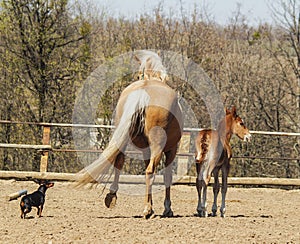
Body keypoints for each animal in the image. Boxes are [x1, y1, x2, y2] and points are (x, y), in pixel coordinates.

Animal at [76, 50, 182, 218]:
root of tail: (143, 91)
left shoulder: (146, 150)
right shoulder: (172, 149)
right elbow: (167, 176)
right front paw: (167, 208)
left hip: (123, 135)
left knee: (119, 161)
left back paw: (112, 197)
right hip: (158, 144)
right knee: (150, 171)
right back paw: (147, 210)